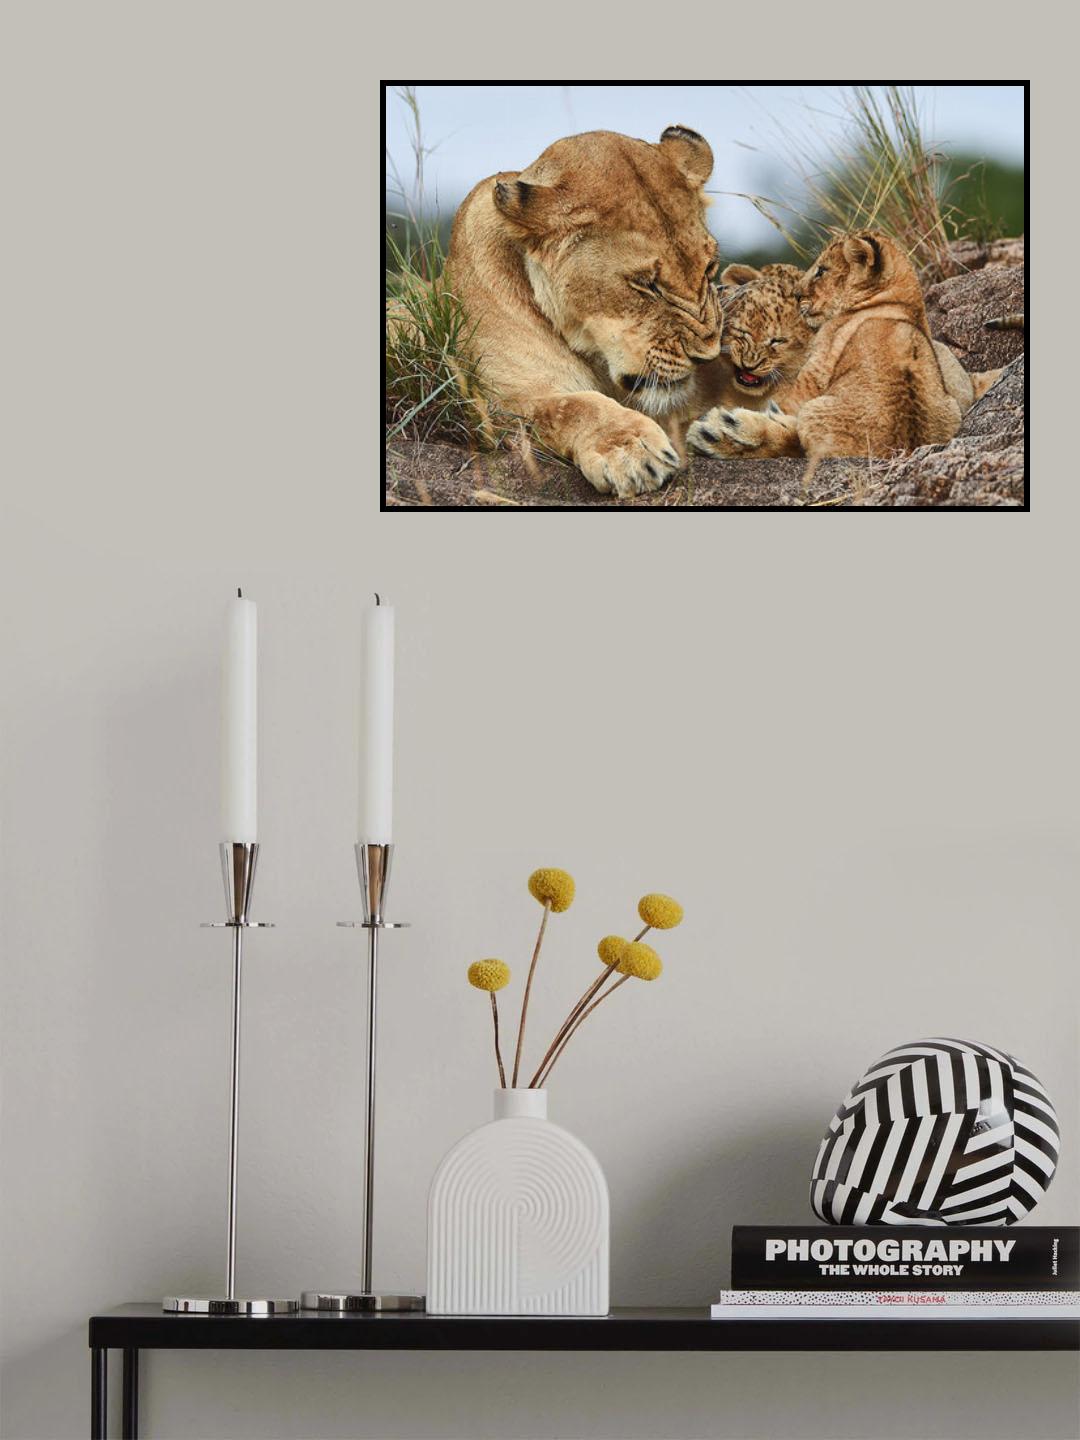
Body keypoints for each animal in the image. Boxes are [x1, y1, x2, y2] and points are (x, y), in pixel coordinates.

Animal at [444, 127, 723, 497]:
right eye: (646, 284)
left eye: (709, 268)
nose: (707, 358)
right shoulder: (492, 401)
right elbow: (571, 406)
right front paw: (631, 450)